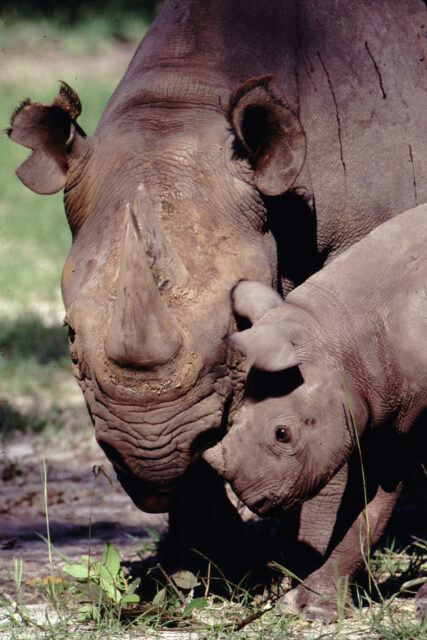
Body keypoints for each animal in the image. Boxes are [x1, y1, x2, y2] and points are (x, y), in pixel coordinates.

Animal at [8, 0, 427, 574]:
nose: (147, 450)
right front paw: (208, 571)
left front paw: (299, 565)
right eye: (69, 335)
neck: (187, 96)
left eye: (236, 328)